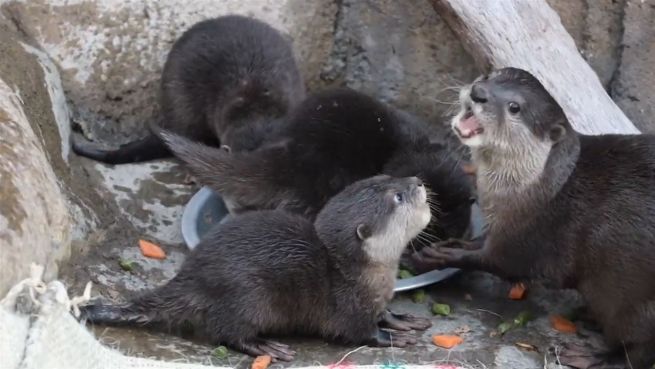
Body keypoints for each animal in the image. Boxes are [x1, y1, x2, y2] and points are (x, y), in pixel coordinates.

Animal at [79, 175, 434, 360]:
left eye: (388, 177)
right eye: (398, 196)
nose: (417, 181)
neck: (366, 274)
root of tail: (192, 278)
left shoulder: (376, 298)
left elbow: (385, 312)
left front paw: (403, 320)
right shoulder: (349, 305)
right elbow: (359, 332)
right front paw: (391, 339)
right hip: (249, 298)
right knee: (226, 333)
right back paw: (265, 346)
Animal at [416, 68, 655, 368]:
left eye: (514, 107)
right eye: (489, 76)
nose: (478, 92)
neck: (543, 188)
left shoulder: (531, 236)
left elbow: (496, 261)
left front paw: (442, 256)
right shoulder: (502, 225)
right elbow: (478, 242)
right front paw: (449, 244)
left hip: (633, 300)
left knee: (637, 348)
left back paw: (592, 354)